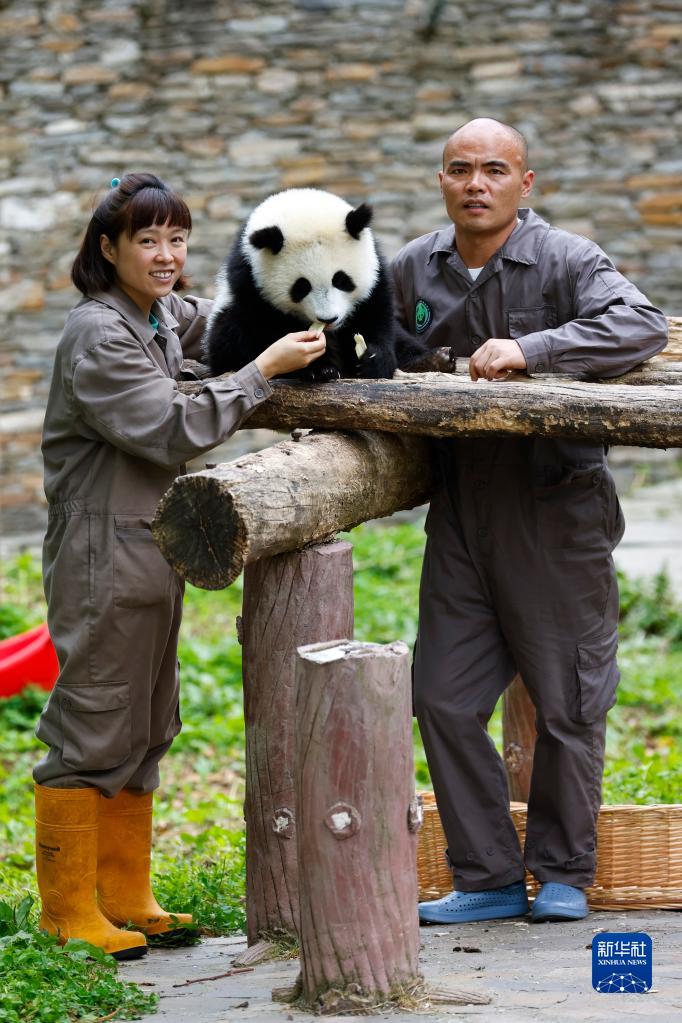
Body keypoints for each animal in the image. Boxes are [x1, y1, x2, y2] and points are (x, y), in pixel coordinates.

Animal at [202, 188, 426, 382]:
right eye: (301, 287)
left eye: (341, 280)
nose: (328, 319)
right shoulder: (249, 280)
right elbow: (266, 325)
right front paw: (318, 368)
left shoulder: (376, 270)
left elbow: (375, 315)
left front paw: (373, 360)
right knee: (227, 333)